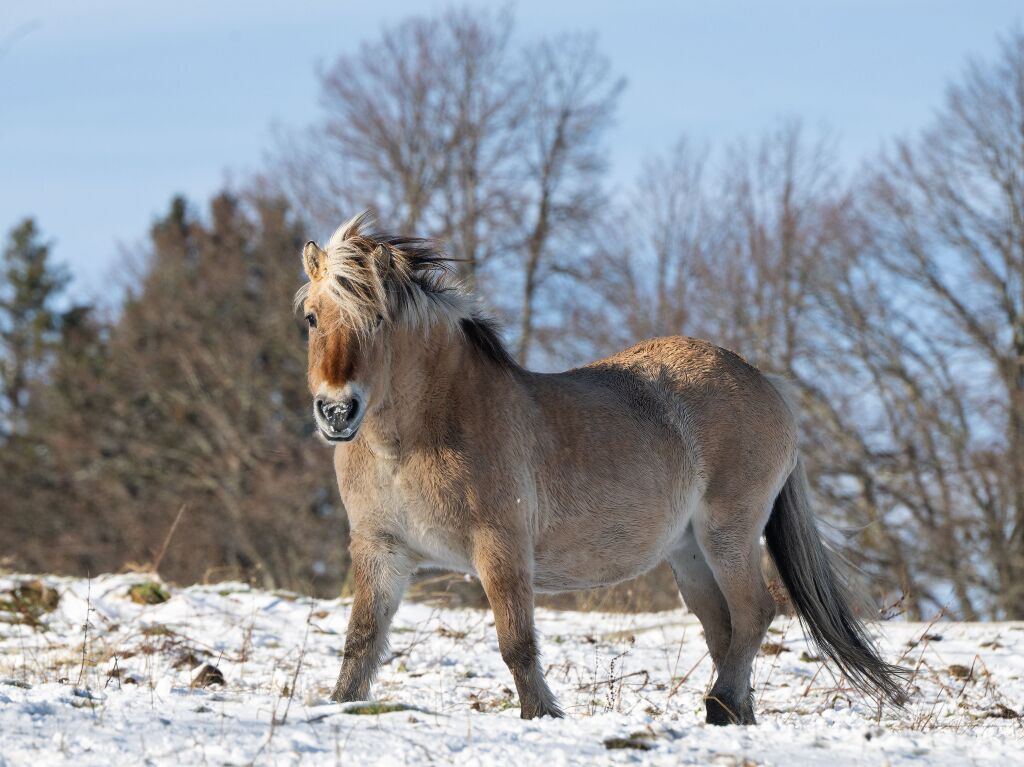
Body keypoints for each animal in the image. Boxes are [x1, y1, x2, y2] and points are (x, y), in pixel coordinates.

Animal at [294, 211, 905, 720]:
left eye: (379, 320)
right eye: (312, 318)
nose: (337, 410)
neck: (410, 443)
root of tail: (766, 382)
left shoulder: (501, 548)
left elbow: (516, 643)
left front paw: (541, 715)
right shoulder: (382, 550)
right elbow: (361, 641)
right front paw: (339, 706)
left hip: (728, 533)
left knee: (755, 613)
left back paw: (721, 707)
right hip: (688, 551)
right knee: (724, 628)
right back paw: (735, 716)